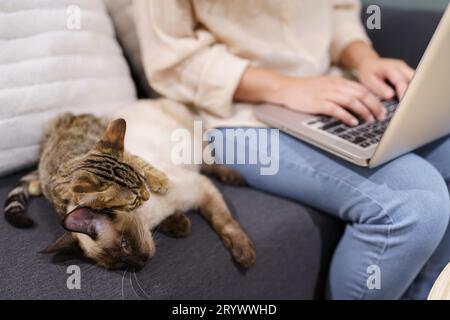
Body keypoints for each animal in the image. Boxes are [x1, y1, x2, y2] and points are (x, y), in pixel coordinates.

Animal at [3, 99, 255, 268]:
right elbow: (184, 225)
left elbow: (225, 223)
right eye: (118, 264)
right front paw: (179, 223)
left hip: (198, 146)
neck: (151, 217)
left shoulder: (202, 189)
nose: (141, 263)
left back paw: (235, 178)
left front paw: (244, 255)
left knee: (210, 162)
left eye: (124, 245)